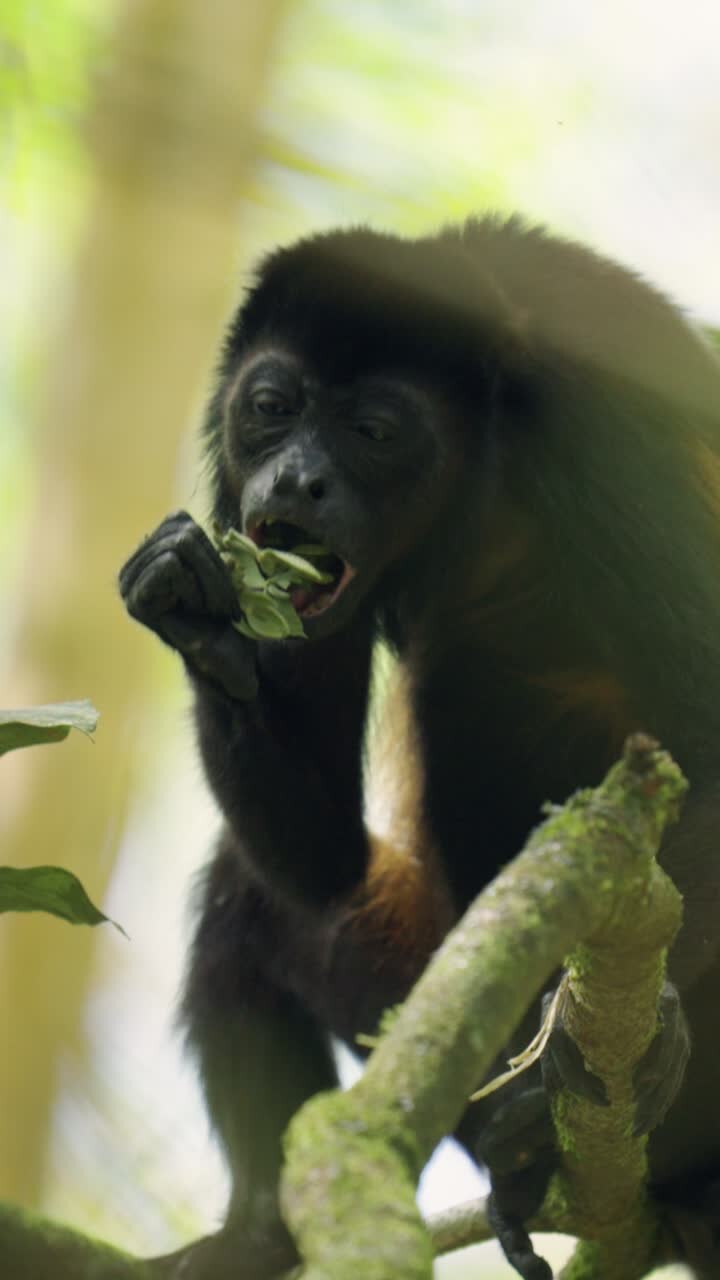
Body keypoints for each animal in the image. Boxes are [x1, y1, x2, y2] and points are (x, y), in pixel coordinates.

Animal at [119, 216, 720, 1278]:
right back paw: (262, 1227)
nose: (297, 478)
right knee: (246, 897)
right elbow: (317, 864)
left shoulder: (605, 430)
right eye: (271, 409)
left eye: (374, 432)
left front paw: (625, 1046)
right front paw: (184, 597)